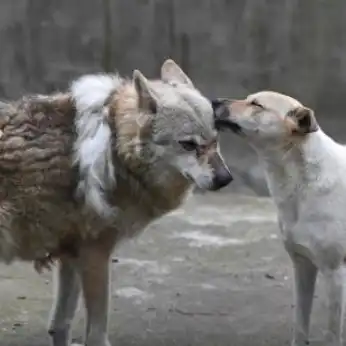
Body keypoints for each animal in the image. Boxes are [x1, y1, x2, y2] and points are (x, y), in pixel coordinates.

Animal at [0, 60, 235, 346]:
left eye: (215, 139)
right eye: (188, 145)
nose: (225, 179)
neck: (116, 145)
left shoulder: (70, 254)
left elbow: (61, 325)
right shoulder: (95, 254)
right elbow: (96, 333)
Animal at [212, 92, 346, 346]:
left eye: (256, 105)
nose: (214, 101)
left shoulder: (336, 274)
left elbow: (333, 335)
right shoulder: (302, 263)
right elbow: (300, 324)